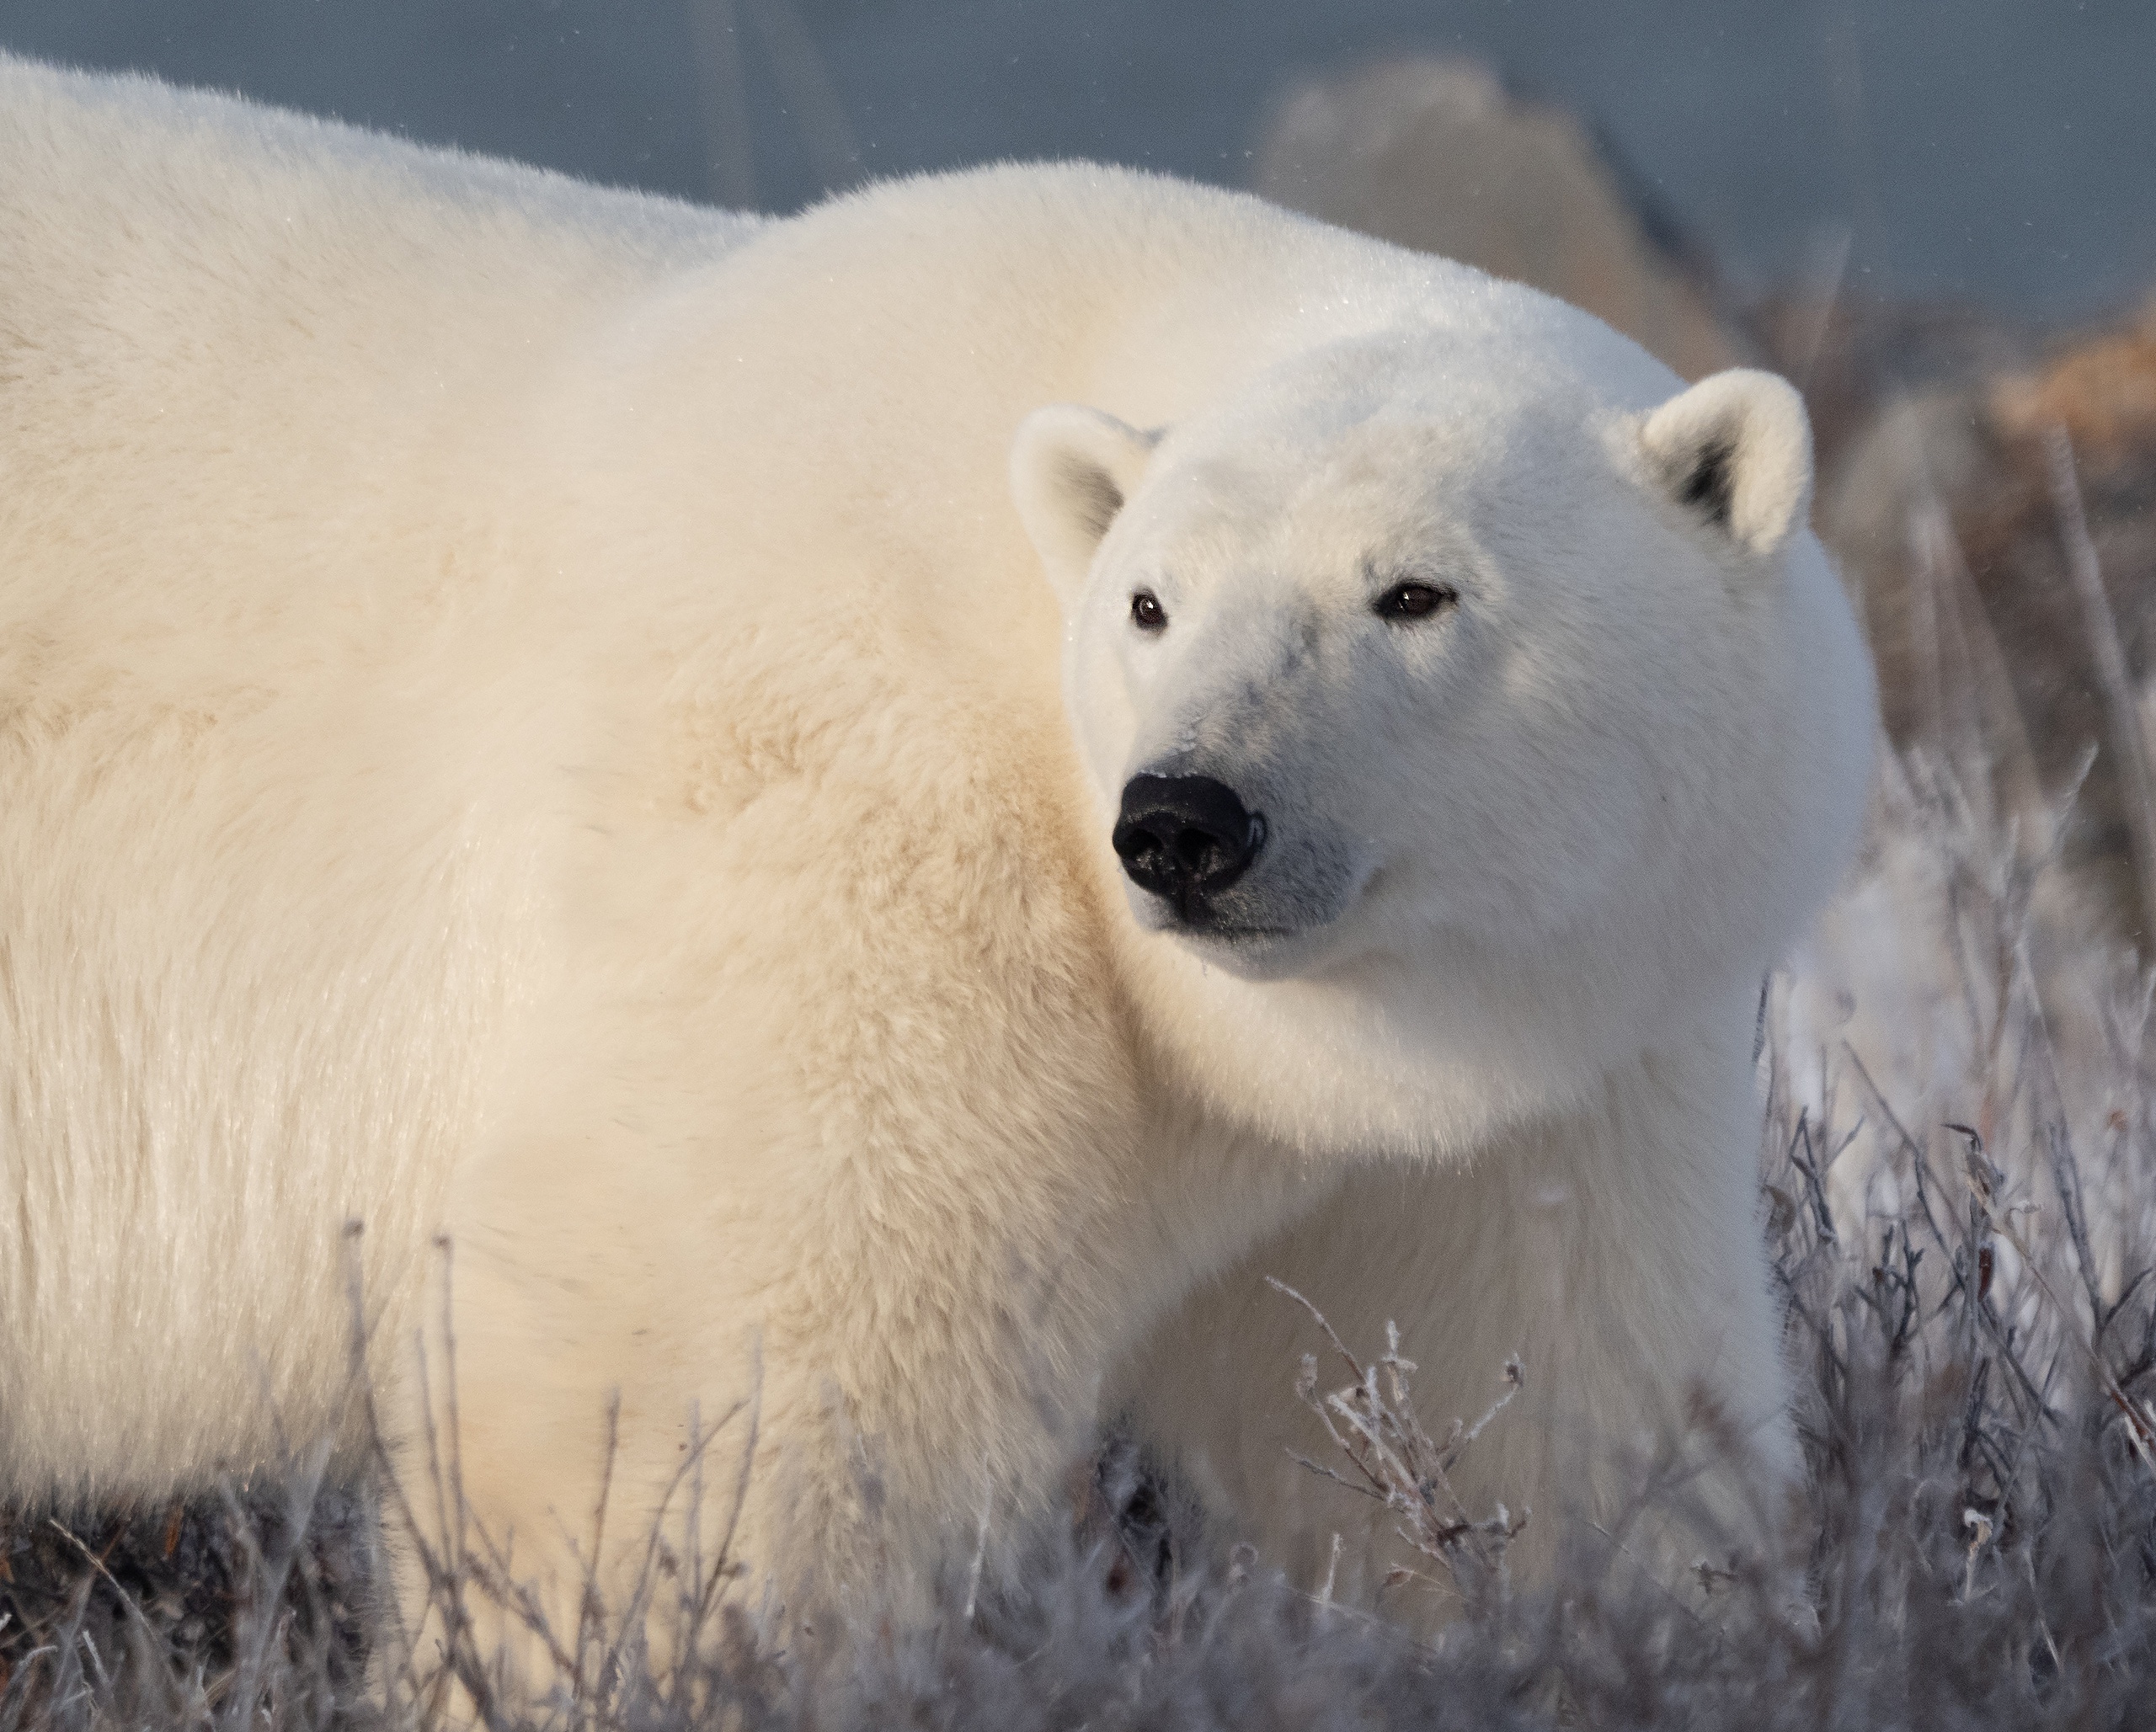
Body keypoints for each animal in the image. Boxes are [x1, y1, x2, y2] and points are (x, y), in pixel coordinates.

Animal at [0, 54, 1880, 1619]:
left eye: (1413, 591)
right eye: (1149, 601)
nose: (1185, 821)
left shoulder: (1530, 1070)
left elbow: (1559, 1394)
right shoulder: (848, 810)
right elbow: (694, 1379)